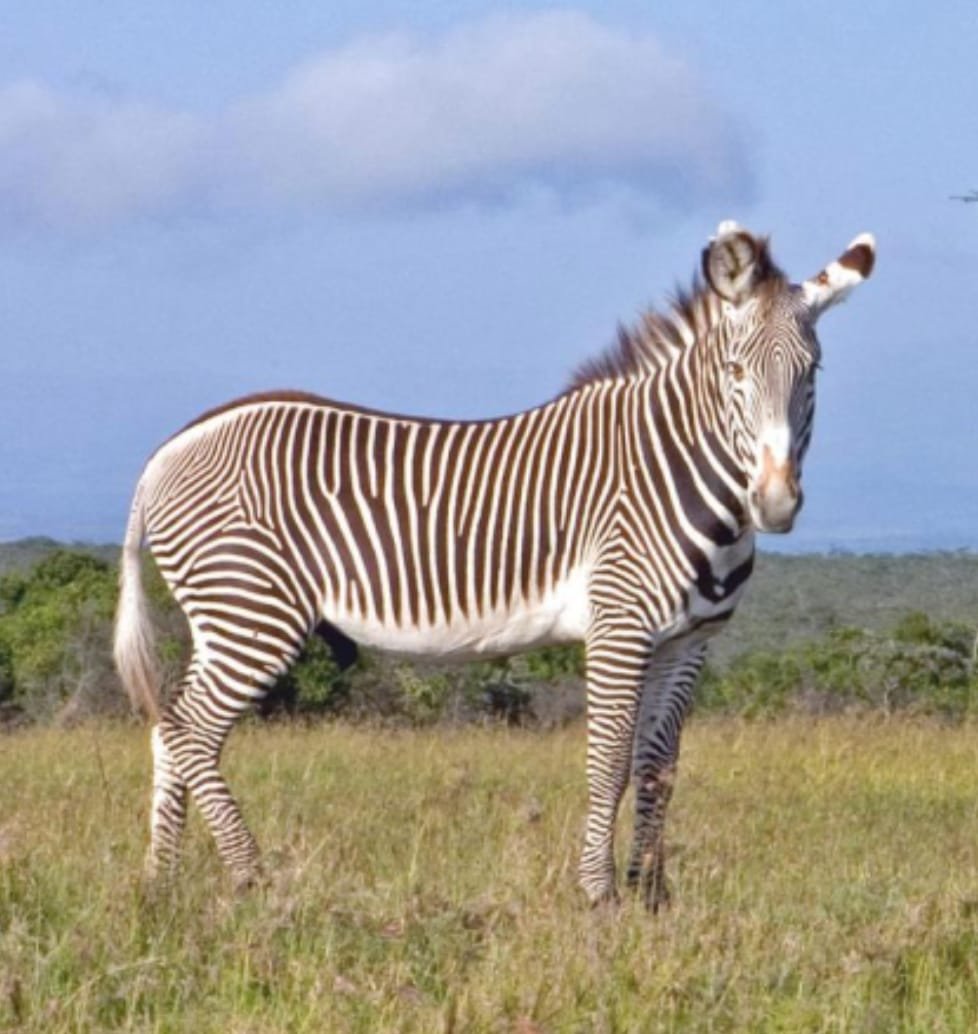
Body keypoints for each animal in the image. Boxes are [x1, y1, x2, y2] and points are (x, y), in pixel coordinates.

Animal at [116, 222, 876, 909]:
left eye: (812, 374)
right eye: (735, 373)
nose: (775, 502)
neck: (679, 473)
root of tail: (167, 450)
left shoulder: (689, 642)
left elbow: (659, 768)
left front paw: (653, 898)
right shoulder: (620, 626)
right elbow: (609, 762)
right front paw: (599, 896)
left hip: (221, 620)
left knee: (167, 729)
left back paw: (161, 882)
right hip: (254, 614)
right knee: (191, 732)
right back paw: (253, 879)